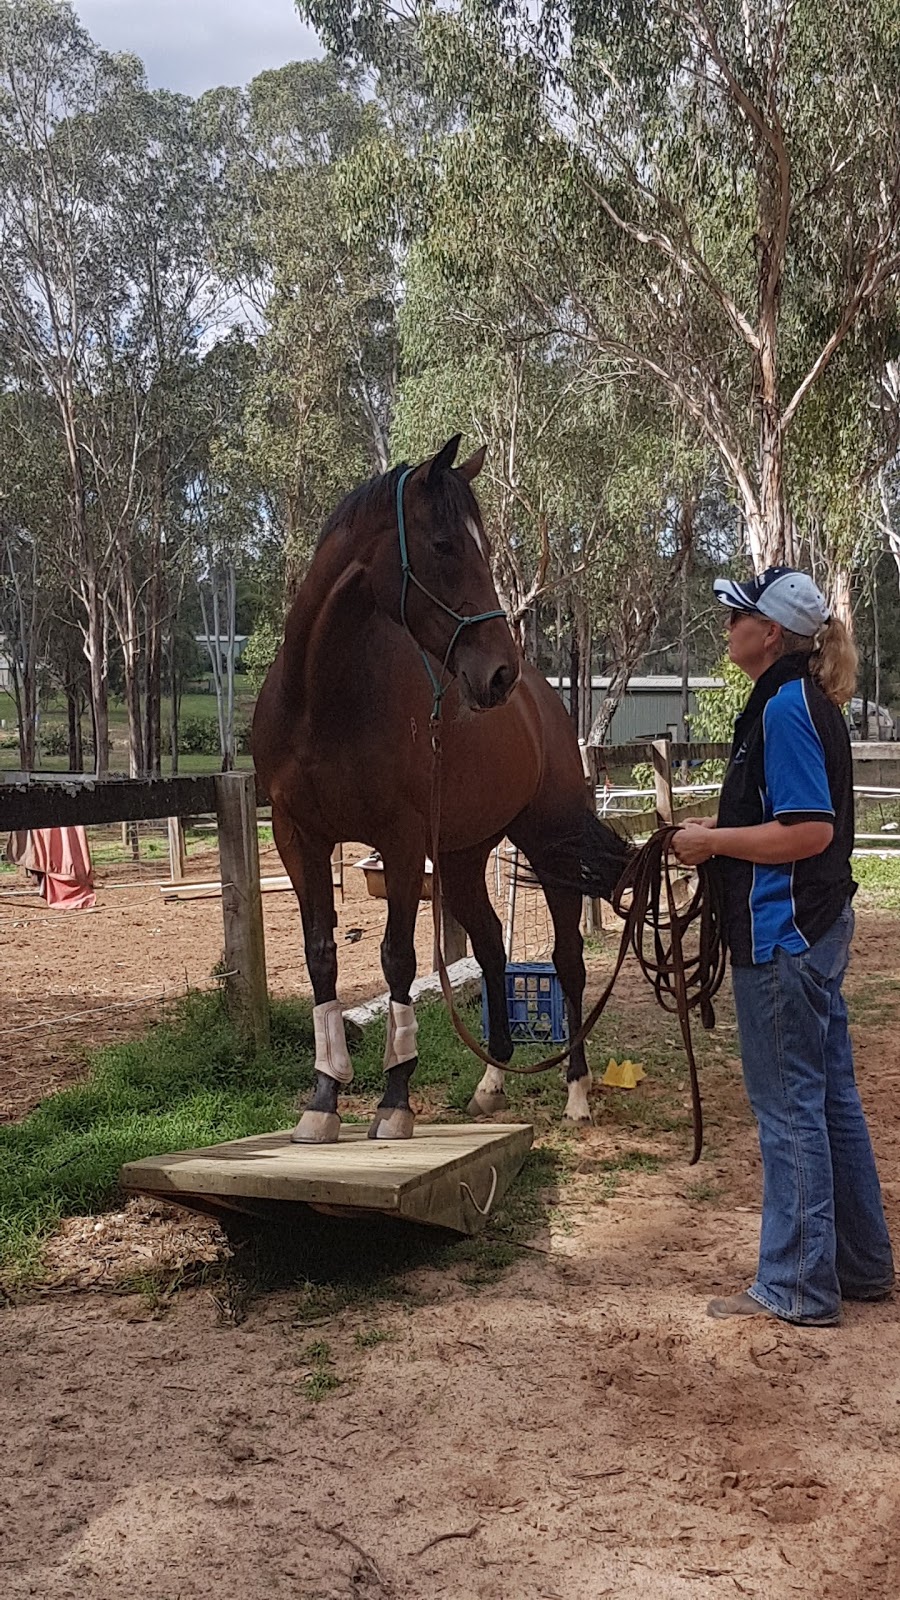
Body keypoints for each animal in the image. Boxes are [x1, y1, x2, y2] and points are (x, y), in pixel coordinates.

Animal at [253, 432, 630, 1145]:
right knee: (490, 947)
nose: (500, 672)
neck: (322, 700)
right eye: (445, 544)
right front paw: (324, 1100)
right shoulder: (297, 836)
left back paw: (577, 1090)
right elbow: (322, 957)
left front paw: (394, 1101)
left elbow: (398, 958)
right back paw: (491, 1083)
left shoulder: (400, 842)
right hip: (460, 858)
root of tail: (544, 702)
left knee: (568, 960)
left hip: (548, 847)